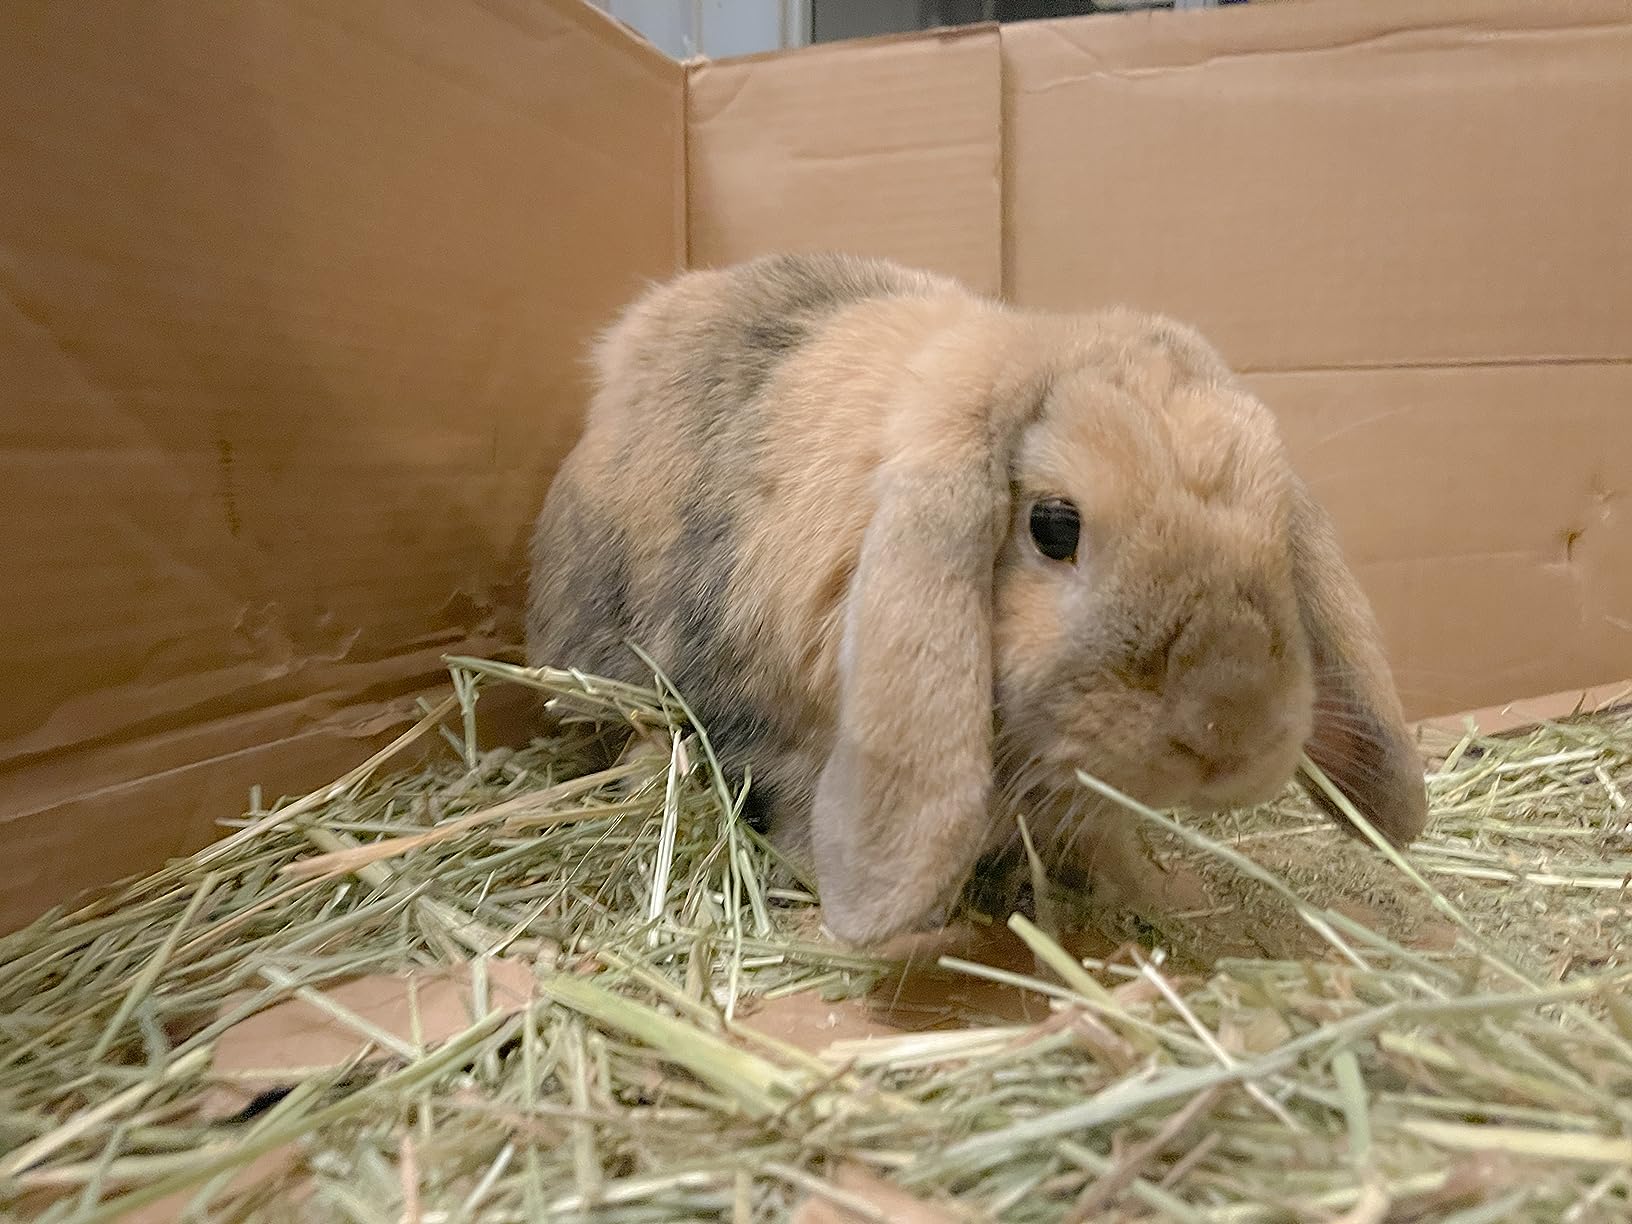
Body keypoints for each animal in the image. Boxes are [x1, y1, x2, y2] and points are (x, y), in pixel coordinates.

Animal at [525, 251, 1428, 948]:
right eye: (1054, 526)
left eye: (1280, 529)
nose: (1227, 729)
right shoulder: (797, 744)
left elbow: (1105, 841)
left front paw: (1156, 895)